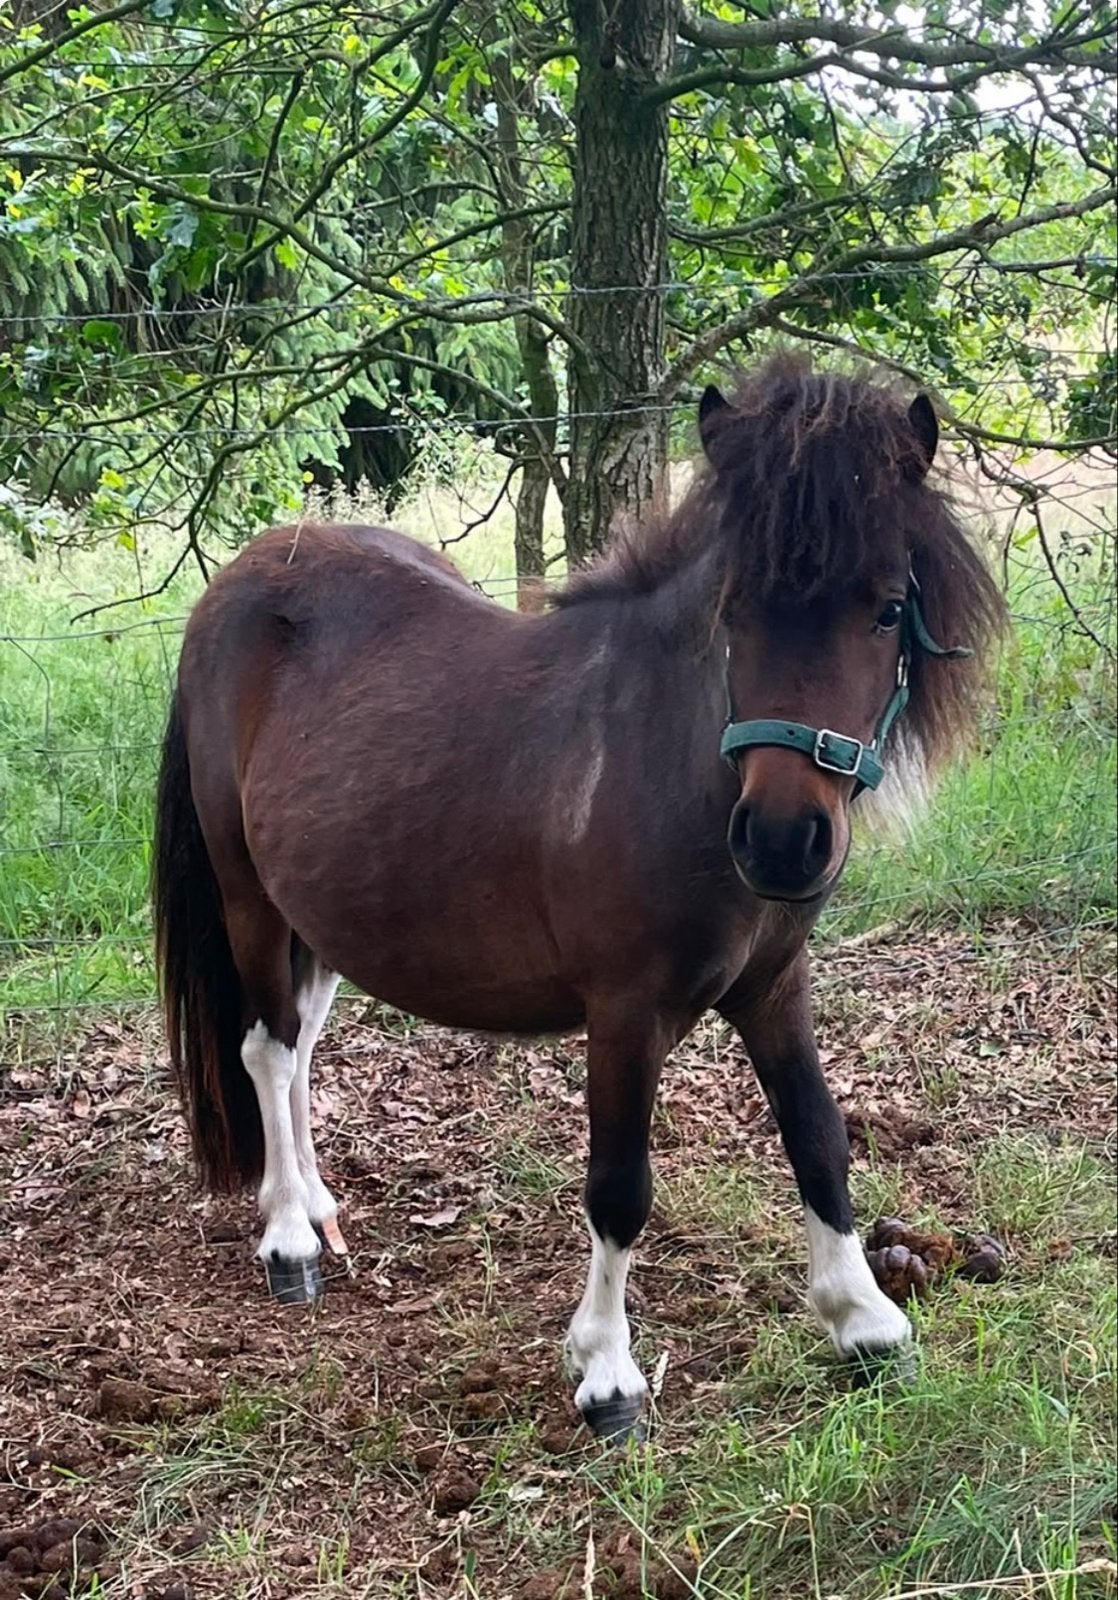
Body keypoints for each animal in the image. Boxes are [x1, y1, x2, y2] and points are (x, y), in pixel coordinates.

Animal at [153, 354, 1004, 1442]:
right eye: (733, 606)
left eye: (888, 607)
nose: (781, 841)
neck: (668, 763)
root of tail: (245, 574)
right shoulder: (624, 1011)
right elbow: (619, 1187)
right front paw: (606, 1373)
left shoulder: (776, 983)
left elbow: (818, 1139)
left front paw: (863, 1319)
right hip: (249, 897)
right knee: (264, 1051)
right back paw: (290, 1238)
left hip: (322, 915)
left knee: (295, 1051)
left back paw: (321, 1208)